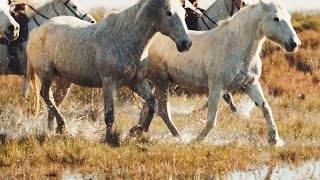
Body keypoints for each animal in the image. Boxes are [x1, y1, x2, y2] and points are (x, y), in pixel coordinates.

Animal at [26, 0, 190, 146]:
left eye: (184, 14)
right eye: (169, 13)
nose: (186, 43)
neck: (126, 39)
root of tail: (35, 31)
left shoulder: (137, 82)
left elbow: (152, 105)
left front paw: (137, 131)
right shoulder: (109, 83)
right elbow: (110, 115)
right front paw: (110, 139)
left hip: (64, 81)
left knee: (54, 100)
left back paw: (52, 130)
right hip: (46, 75)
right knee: (46, 96)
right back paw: (61, 126)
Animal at [139, 0, 300, 146]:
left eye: (289, 17)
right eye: (276, 18)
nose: (294, 44)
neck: (236, 46)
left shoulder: (250, 84)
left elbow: (265, 107)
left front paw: (274, 139)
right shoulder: (217, 89)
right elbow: (211, 120)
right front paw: (197, 140)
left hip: (158, 83)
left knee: (149, 106)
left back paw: (138, 131)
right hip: (161, 81)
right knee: (163, 111)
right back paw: (178, 137)